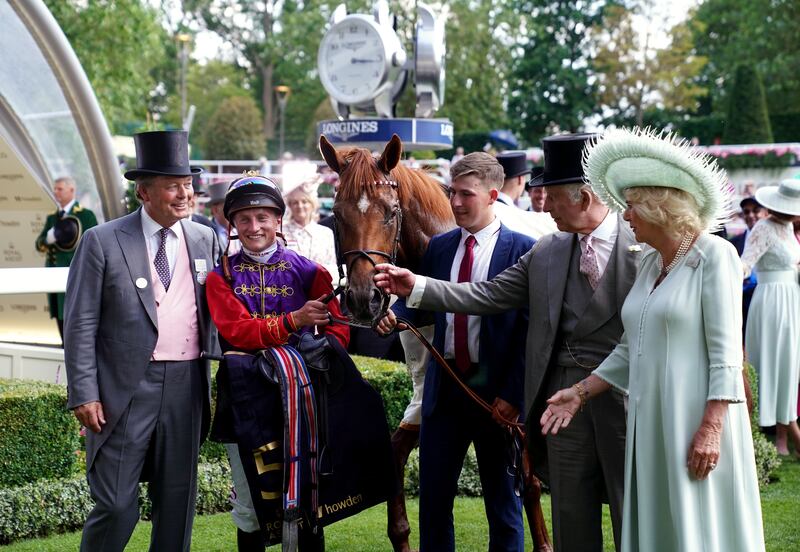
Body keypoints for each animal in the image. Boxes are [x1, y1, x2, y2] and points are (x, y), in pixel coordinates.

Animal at [318, 135, 552, 552]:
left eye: (391, 212)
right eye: (337, 216)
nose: (363, 299)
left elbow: (529, 478)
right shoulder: (428, 385)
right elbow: (396, 451)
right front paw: (400, 533)